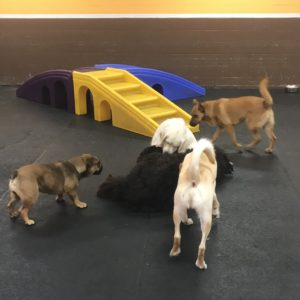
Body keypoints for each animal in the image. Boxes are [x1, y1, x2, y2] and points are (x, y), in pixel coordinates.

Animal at [169, 138, 220, 270]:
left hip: (177, 209)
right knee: (202, 246)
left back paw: (175, 250)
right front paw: (216, 212)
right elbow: (216, 201)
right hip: (206, 219)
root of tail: (194, 178)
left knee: (177, 234)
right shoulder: (213, 189)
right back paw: (201, 264)